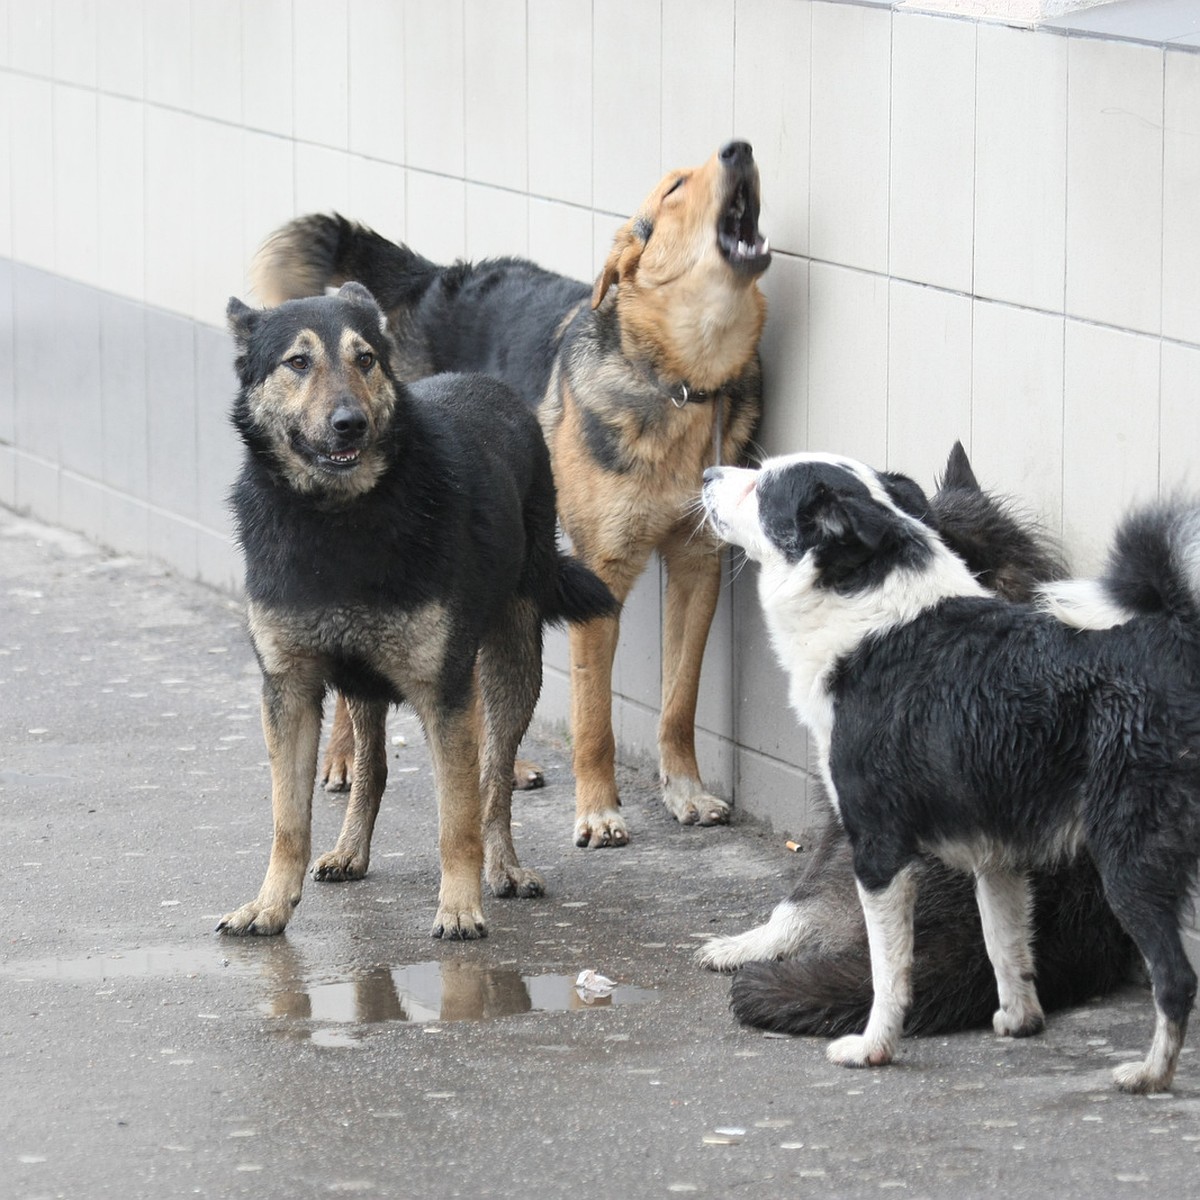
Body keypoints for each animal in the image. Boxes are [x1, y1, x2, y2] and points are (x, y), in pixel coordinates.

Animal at [217, 283, 614, 936]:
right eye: (298, 362)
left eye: (365, 359)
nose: (349, 424)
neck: (339, 519)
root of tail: (489, 383)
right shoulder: (289, 691)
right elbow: (288, 820)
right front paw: (270, 905)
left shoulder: (443, 691)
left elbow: (458, 816)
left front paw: (458, 906)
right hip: (364, 680)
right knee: (373, 766)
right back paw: (350, 850)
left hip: (510, 664)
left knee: (493, 778)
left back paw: (503, 867)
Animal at [255, 140, 768, 849]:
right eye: (674, 188)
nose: (739, 148)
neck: (681, 382)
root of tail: (432, 278)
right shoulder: (603, 572)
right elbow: (593, 716)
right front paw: (599, 810)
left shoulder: (698, 567)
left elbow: (679, 702)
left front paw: (684, 791)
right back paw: (342, 758)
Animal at [700, 451, 1200, 1099]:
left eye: (761, 487)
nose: (707, 475)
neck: (870, 612)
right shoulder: (996, 855)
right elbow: (1006, 948)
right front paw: (1018, 1021)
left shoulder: (877, 850)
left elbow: (889, 971)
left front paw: (874, 1047)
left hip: (1128, 859)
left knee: (1176, 978)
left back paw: (1152, 1074)